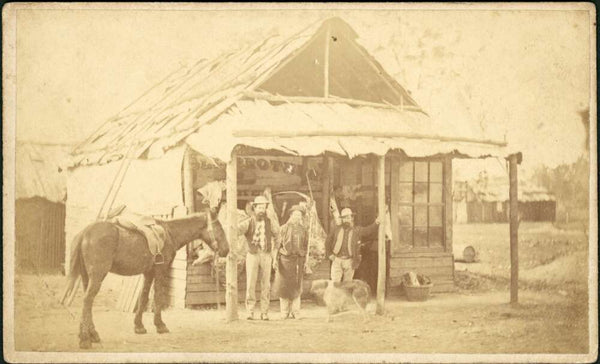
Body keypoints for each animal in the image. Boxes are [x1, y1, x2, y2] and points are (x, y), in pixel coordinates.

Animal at [62, 210, 229, 350]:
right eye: (219, 228)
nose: (226, 250)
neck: (169, 233)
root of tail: (85, 232)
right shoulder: (160, 271)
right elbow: (158, 297)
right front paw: (160, 325)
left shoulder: (148, 273)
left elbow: (143, 297)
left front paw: (139, 327)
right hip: (97, 276)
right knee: (87, 301)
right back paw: (85, 340)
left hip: (87, 277)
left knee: (88, 303)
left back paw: (92, 335)